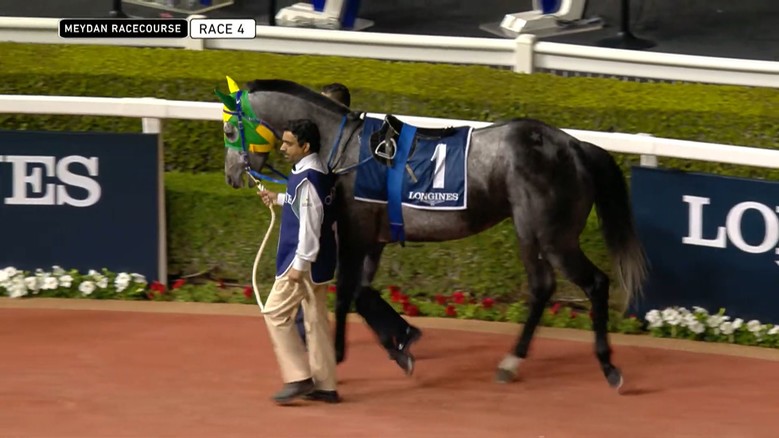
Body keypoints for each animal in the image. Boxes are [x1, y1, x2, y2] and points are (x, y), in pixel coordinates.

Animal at [215, 77, 649, 389]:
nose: (232, 174)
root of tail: (577, 147)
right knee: (546, 287)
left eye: (230, 130)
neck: (348, 149)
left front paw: (335, 358)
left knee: (588, 283)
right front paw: (403, 342)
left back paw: (603, 365)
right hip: (535, 232)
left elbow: (344, 294)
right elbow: (362, 293)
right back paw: (515, 362)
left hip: (549, 233)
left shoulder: (355, 233)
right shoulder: (374, 239)